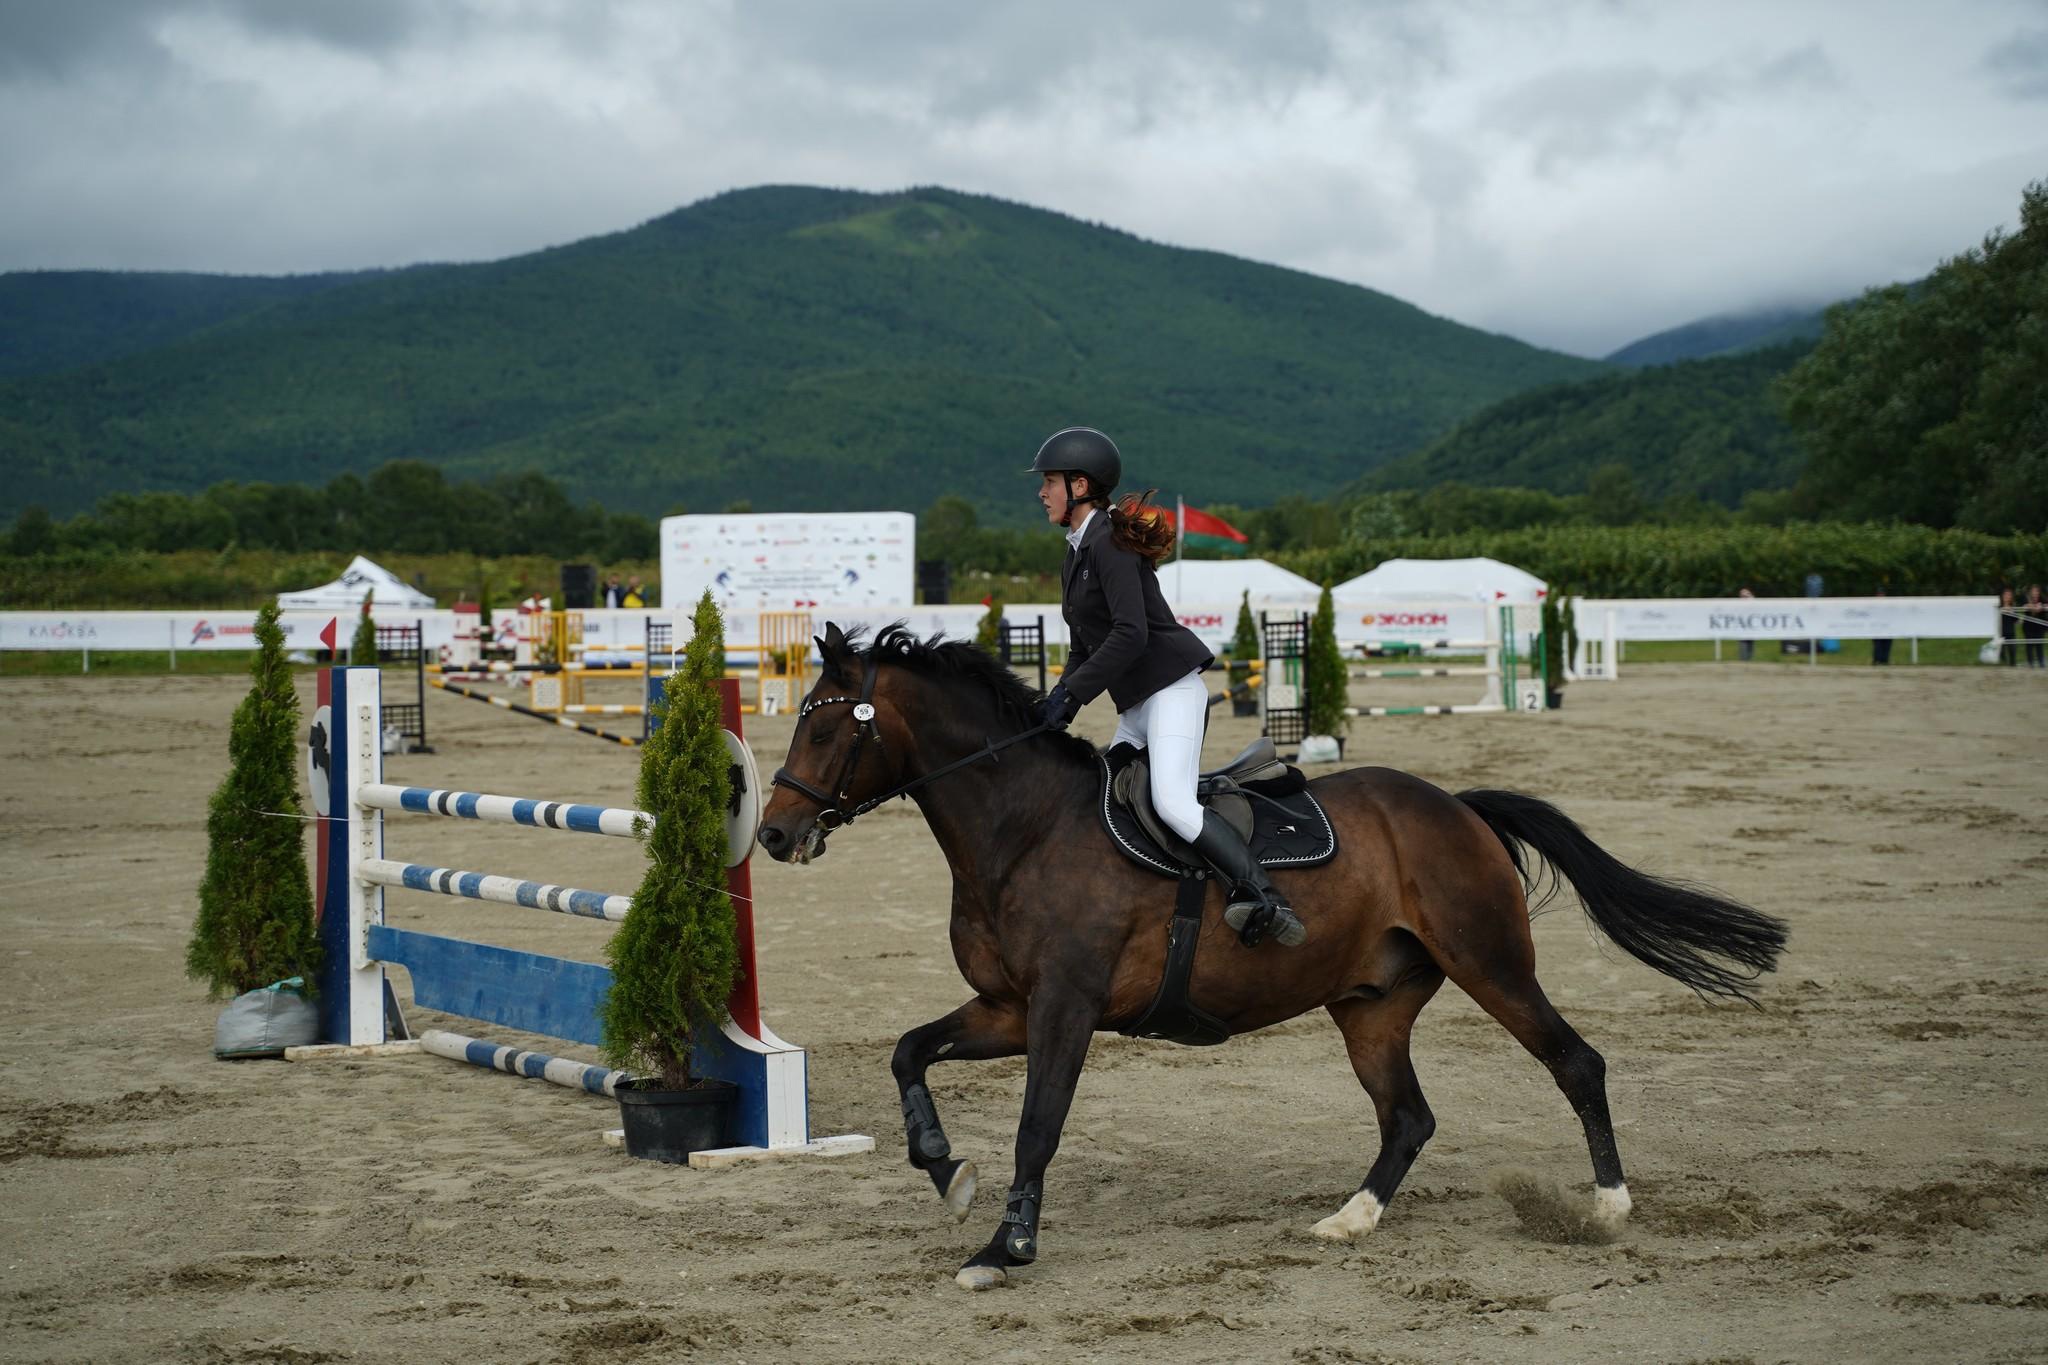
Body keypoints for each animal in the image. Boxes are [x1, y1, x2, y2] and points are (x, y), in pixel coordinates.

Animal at [761, 630, 1785, 1293]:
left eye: (827, 726)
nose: (773, 834)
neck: (1023, 828)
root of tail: (1457, 805)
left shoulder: (1064, 1008)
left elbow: (1038, 1126)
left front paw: (1003, 1250)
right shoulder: (1009, 1006)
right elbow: (908, 1050)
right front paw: (946, 1171)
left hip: (1493, 965)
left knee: (1576, 1062)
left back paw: (1608, 1207)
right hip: (1372, 1003)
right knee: (1409, 1116)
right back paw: (1349, 1218)